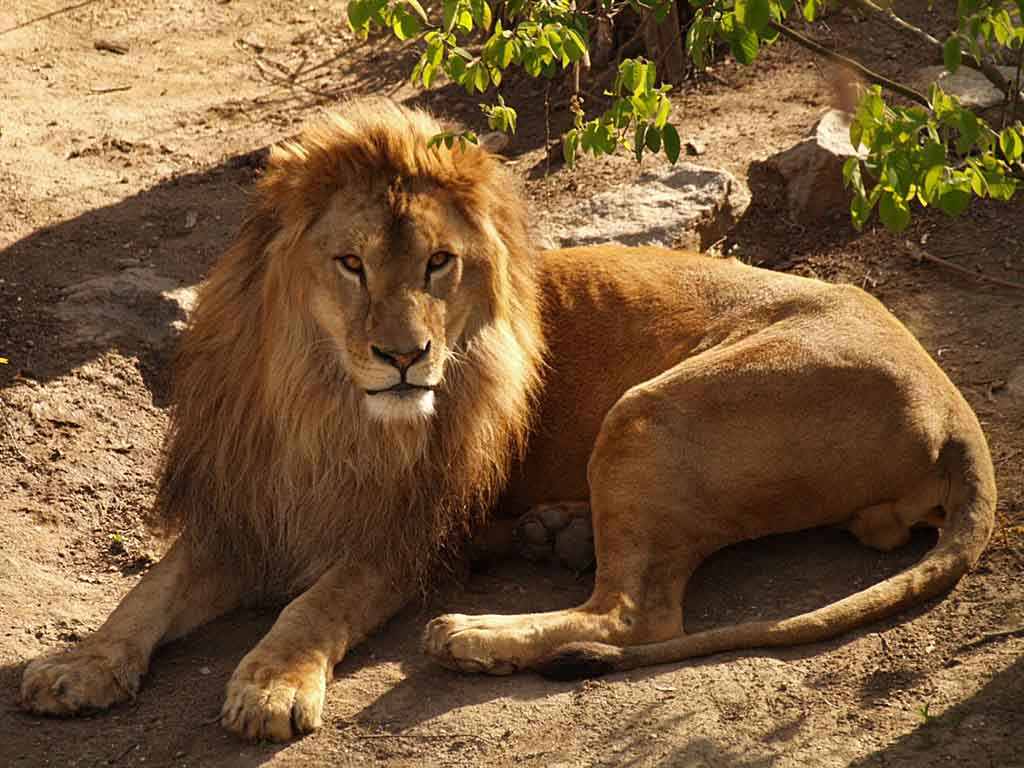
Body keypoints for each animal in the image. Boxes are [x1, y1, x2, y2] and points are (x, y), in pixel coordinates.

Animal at [20, 99, 995, 742]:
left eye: (439, 264)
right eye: (351, 264)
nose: (406, 357)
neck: (322, 403)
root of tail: (953, 404)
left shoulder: (408, 534)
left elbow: (314, 602)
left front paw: (270, 685)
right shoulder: (245, 508)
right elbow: (149, 592)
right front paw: (81, 665)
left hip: (650, 410)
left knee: (637, 618)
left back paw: (476, 636)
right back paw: (555, 535)